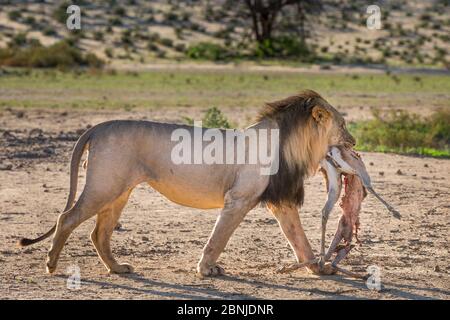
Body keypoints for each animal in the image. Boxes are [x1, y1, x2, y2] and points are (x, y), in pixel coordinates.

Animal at [18, 89, 356, 276]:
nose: (354, 142)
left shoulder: (281, 202)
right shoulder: (238, 199)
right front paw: (207, 269)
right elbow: (219, 237)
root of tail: (99, 126)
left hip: (119, 191)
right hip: (105, 186)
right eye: (343, 125)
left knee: (98, 233)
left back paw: (118, 268)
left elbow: (300, 239)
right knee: (66, 218)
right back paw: (51, 265)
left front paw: (319, 268)